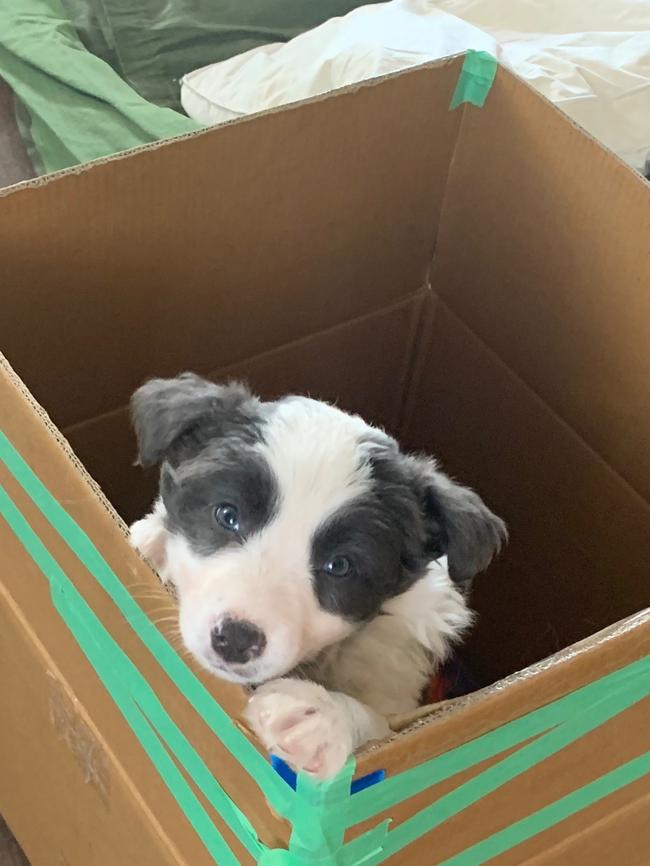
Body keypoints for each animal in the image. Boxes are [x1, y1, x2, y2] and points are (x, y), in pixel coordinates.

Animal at [129, 374, 504, 780]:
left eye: (339, 566)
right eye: (227, 515)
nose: (235, 639)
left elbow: (383, 727)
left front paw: (323, 716)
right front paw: (154, 543)